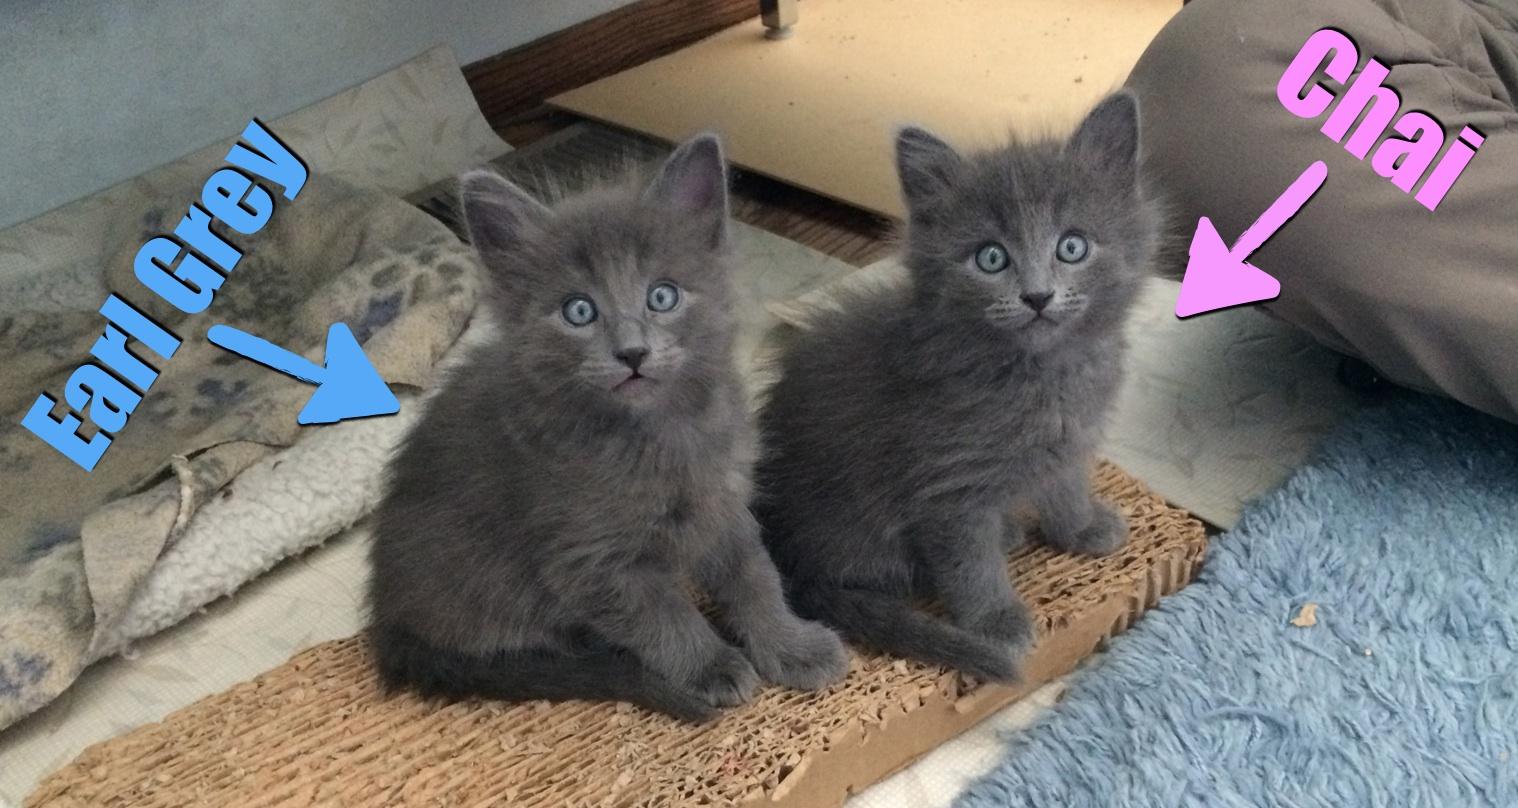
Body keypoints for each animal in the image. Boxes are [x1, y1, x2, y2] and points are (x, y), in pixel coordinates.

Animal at [367, 134, 848, 722]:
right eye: (579, 311)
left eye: (662, 296)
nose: (632, 352)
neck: (660, 436)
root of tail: (388, 621)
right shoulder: (591, 558)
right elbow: (664, 614)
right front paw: (713, 666)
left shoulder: (723, 502)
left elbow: (755, 575)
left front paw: (792, 646)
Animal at [755, 92, 1160, 681]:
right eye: (991, 257)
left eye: (1072, 247)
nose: (1038, 296)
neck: (1042, 375)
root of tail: (791, 561)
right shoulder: (948, 486)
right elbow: (969, 564)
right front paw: (996, 622)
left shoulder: (1069, 444)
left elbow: (1065, 487)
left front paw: (1080, 528)